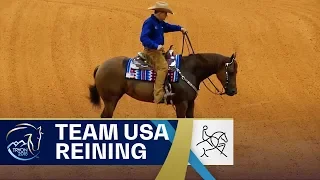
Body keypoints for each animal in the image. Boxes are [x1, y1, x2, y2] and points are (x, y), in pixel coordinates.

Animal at [87, 40, 238, 118]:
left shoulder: (191, 103)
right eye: (230, 72)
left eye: (236, 71)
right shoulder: (181, 103)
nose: (233, 91)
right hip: (110, 100)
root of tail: (101, 66)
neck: (189, 70)